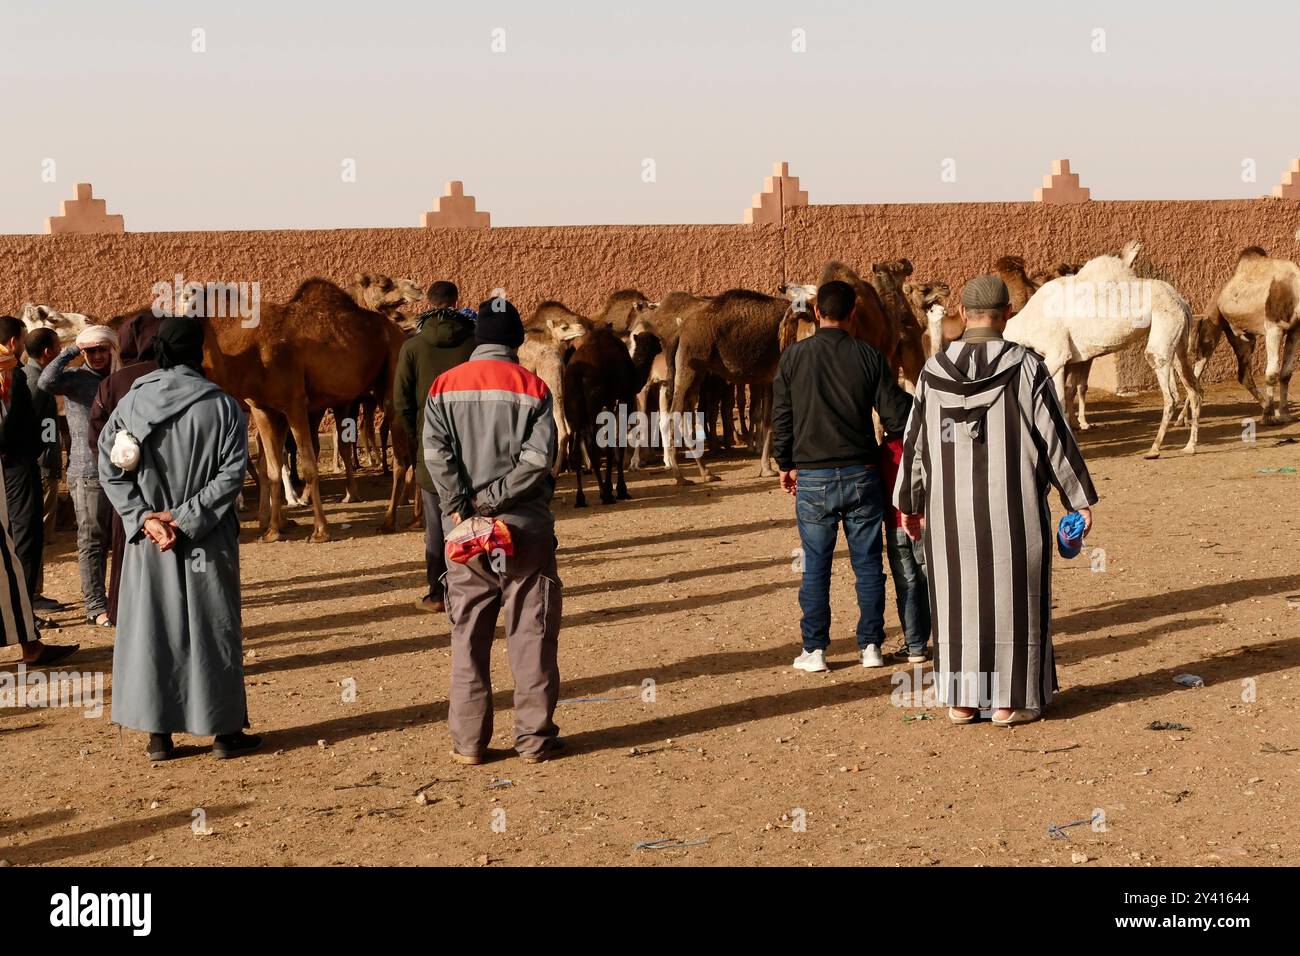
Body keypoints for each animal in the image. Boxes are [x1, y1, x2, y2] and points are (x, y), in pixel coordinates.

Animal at [561, 323, 660, 509]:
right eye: (656, 340)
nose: (661, 345)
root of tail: (577, 372)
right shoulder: (623, 399)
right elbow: (617, 443)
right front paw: (621, 490)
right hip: (595, 402)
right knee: (593, 445)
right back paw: (605, 495)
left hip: (573, 407)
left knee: (576, 449)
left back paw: (581, 498)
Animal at [1003, 243, 1196, 460]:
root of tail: (1180, 301)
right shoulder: (1058, 358)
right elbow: (1059, 397)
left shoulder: (1057, 352)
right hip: (1178, 340)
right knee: (1193, 388)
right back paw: (1190, 446)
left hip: (1163, 333)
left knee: (1171, 395)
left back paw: (1154, 449)